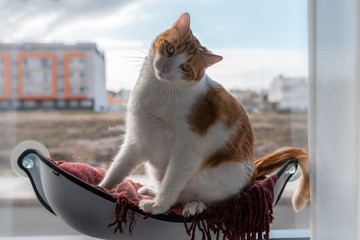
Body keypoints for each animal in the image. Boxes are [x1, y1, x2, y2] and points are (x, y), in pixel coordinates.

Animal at [99, 12, 310, 217]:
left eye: (185, 67)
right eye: (170, 49)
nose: (165, 68)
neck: (160, 91)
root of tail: (254, 170)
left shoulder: (187, 150)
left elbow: (171, 183)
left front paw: (159, 206)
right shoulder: (136, 140)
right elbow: (118, 168)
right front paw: (102, 187)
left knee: (209, 201)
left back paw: (193, 205)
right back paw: (152, 191)